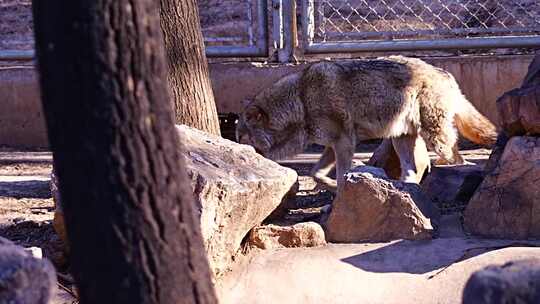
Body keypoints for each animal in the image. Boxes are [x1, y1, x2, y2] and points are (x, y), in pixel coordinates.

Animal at [236, 56, 498, 190]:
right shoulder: (333, 145)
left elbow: (341, 173)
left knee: (457, 159)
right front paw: (330, 185)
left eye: (242, 139)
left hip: (435, 140)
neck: (301, 99)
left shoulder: (344, 142)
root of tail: (446, 74)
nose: (242, 153)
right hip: (400, 139)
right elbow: (315, 173)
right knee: (413, 171)